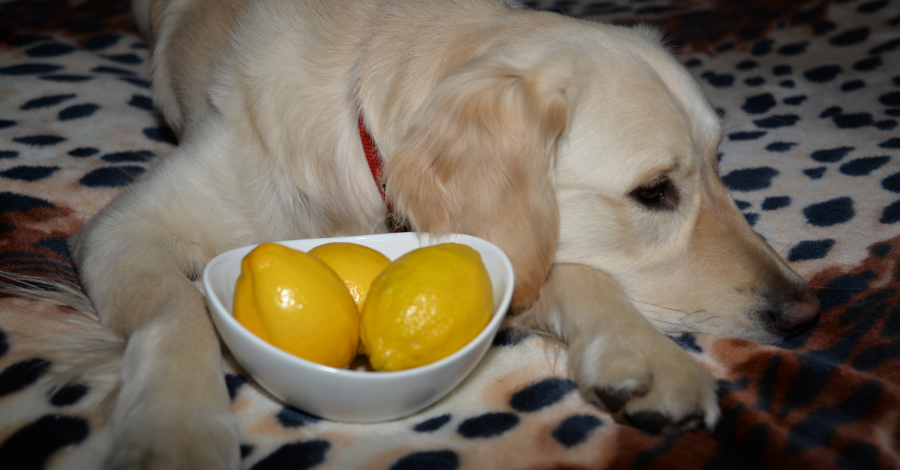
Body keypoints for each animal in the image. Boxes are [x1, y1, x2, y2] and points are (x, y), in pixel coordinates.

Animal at [52, 0, 824, 466]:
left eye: (720, 166)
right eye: (655, 192)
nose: (805, 313)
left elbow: (564, 269)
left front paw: (643, 355)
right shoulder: (123, 227)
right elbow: (177, 310)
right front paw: (174, 432)